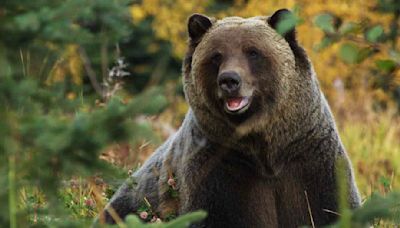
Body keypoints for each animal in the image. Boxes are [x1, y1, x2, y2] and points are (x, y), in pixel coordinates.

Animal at [98, 8, 360, 227]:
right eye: (216, 55)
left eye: (253, 52)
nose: (229, 80)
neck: (265, 150)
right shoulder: (219, 166)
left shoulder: (311, 160)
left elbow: (330, 208)